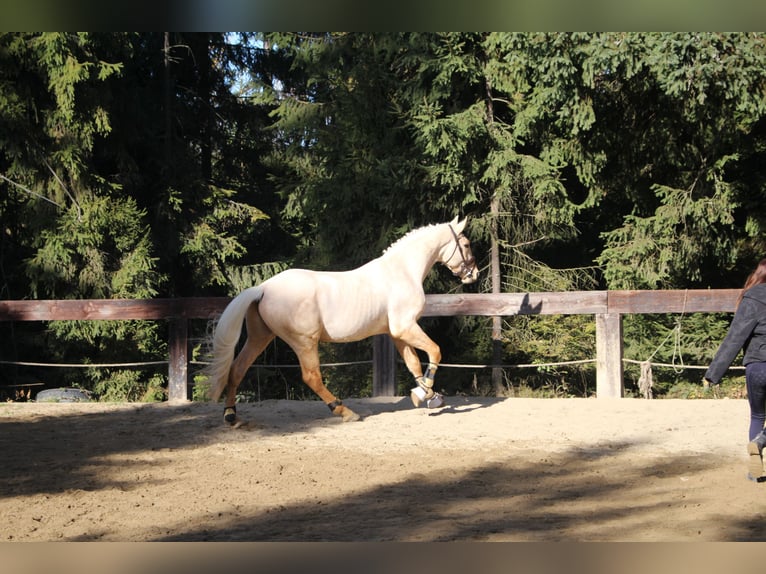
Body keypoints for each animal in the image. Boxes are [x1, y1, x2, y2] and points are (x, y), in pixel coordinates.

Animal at [204, 218, 480, 426]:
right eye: (466, 244)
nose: (473, 275)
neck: (402, 271)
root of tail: (263, 288)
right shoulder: (406, 327)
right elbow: (435, 351)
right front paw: (427, 393)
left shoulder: (397, 333)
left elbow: (413, 364)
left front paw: (427, 396)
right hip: (305, 341)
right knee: (311, 377)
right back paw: (345, 411)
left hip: (259, 337)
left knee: (237, 369)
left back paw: (231, 416)